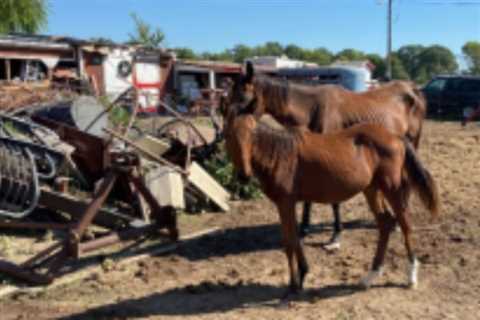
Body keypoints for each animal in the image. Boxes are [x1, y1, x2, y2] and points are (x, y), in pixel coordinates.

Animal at [223, 63, 426, 245]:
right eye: (229, 97)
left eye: (244, 98)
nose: (228, 127)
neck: (311, 109)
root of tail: (412, 89)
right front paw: (304, 229)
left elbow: (334, 202)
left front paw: (336, 234)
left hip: (412, 142)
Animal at [223, 109, 436, 296]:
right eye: (228, 136)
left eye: (252, 135)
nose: (243, 175)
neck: (280, 155)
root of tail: (395, 136)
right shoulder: (285, 204)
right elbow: (293, 238)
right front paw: (302, 276)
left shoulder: (285, 202)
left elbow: (290, 242)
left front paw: (293, 285)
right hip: (372, 189)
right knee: (385, 223)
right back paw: (370, 276)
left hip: (392, 188)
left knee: (405, 224)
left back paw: (411, 277)